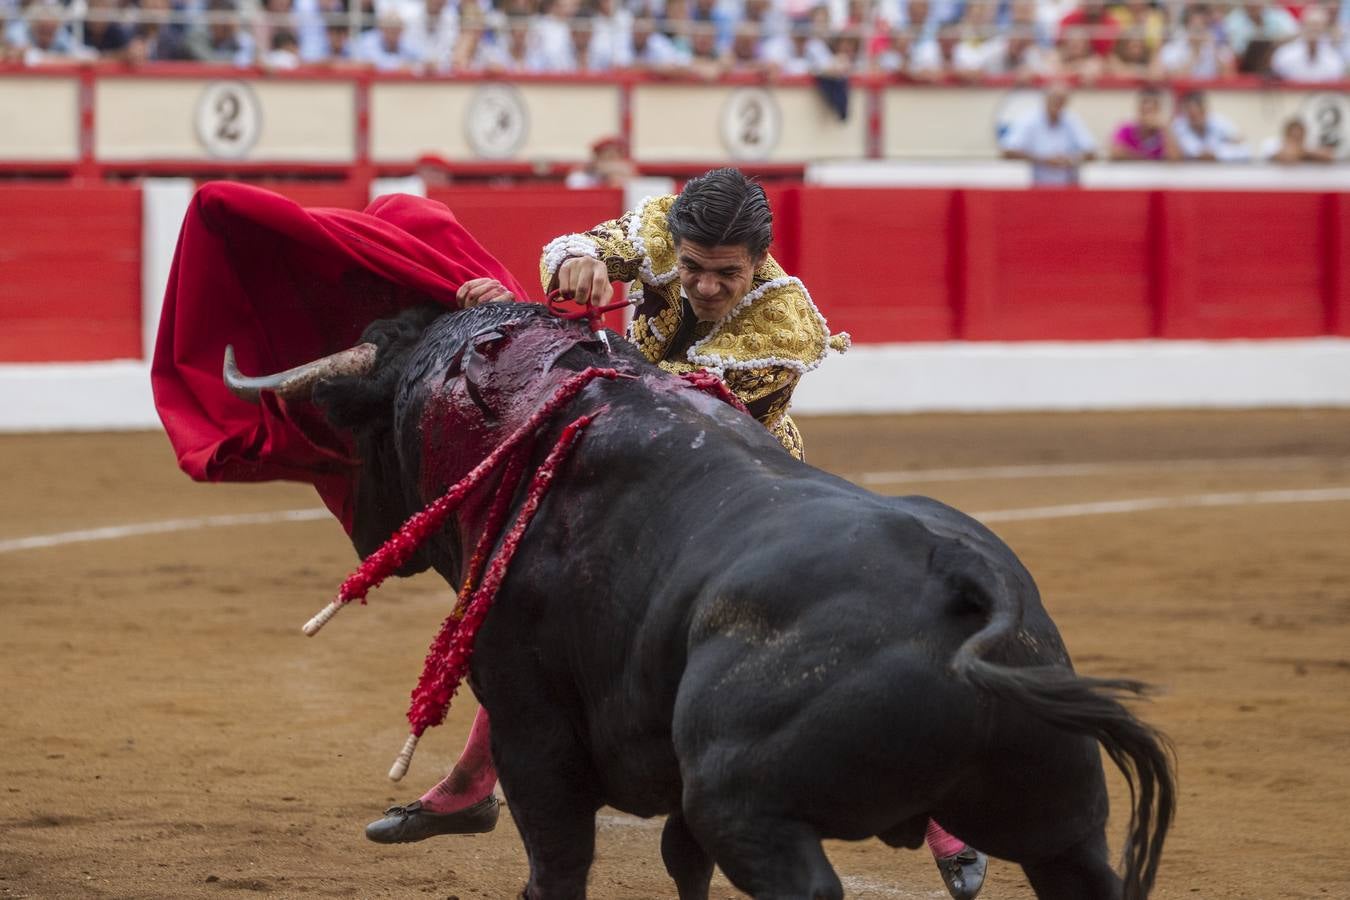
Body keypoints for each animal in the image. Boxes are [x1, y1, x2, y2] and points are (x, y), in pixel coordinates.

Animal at [290, 304, 1177, 900]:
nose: (361, 525)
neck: (540, 417)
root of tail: (964, 578)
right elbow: (683, 864)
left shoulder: (530, 722)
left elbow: (559, 861)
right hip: (1065, 819)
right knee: (1081, 868)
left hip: (747, 807)